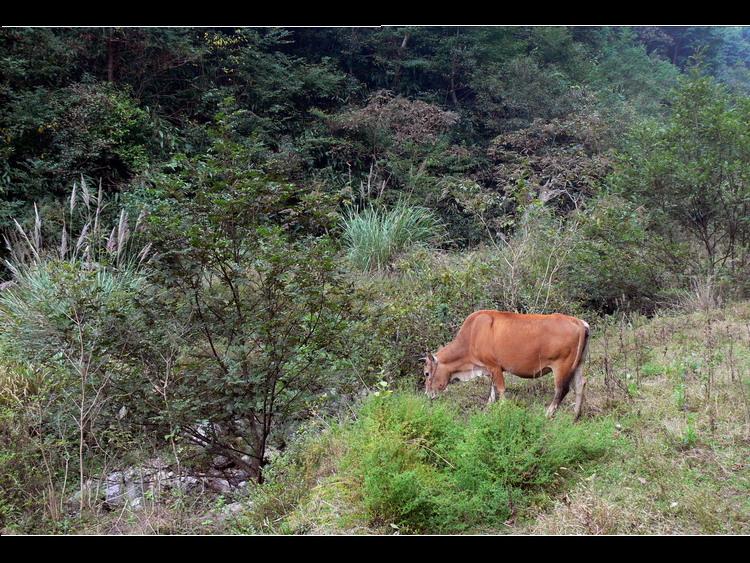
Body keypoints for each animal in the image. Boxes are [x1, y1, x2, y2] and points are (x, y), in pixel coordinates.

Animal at [424, 310, 592, 420]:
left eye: (426, 373)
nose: (427, 394)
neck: (472, 334)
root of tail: (579, 322)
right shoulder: (489, 369)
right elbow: (492, 390)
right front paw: (488, 407)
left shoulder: (494, 366)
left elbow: (500, 389)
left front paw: (503, 408)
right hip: (578, 364)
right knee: (580, 384)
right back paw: (575, 415)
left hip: (562, 366)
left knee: (562, 390)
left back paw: (548, 413)